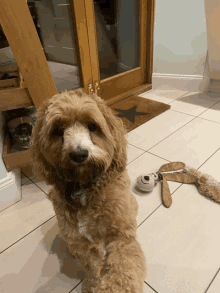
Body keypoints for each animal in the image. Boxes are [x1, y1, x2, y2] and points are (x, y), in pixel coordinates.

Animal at [29, 89, 146, 292]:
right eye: (57, 130)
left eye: (92, 126)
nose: (79, 154)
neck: (85, 186)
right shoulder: (80, 243)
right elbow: (93, 267)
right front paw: (93, 285)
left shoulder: (121, 236)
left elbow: (122, 271)